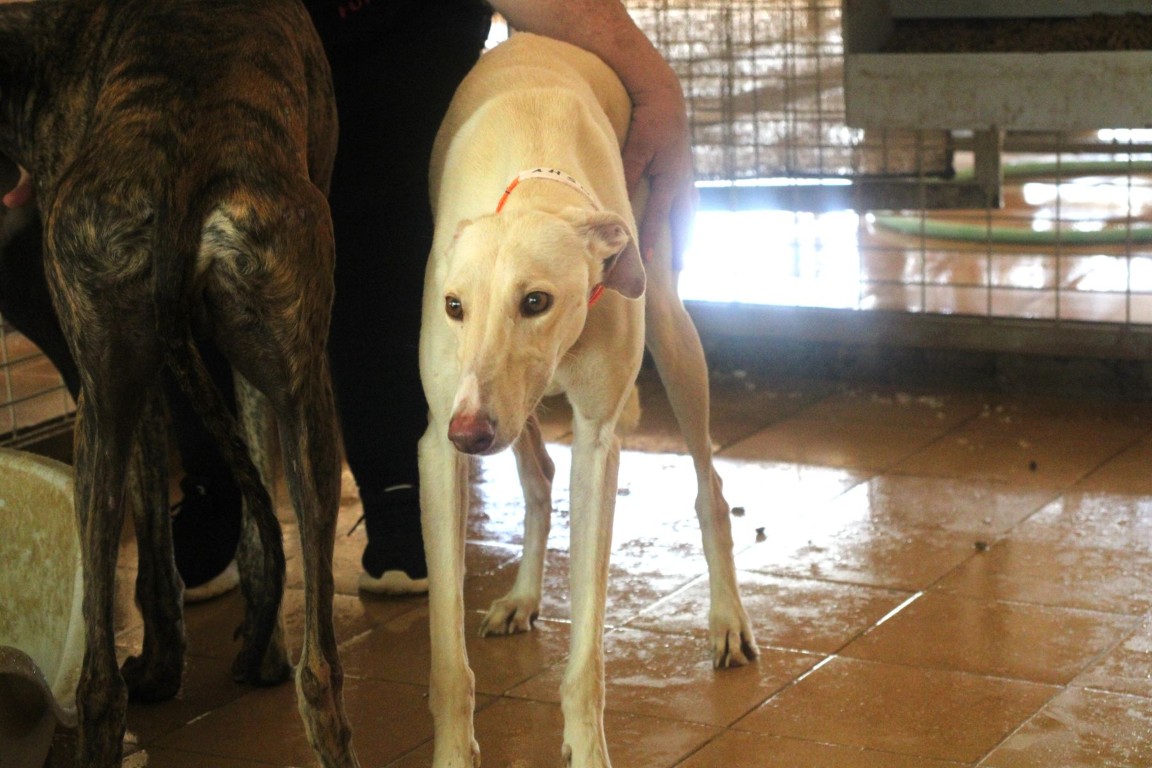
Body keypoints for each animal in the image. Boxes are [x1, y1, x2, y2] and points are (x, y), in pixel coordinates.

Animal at [0, 1, 358, 766]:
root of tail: (182, 167)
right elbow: (252, 527)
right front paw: (255, 653)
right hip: (298, 394)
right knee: (319, 670)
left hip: (103, 409)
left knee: (97, 685)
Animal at [420, 31, 758, 767]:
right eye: (454, 306)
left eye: (536, 301)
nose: (471, 434)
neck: (533, 184)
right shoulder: (439, 442)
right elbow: (446, 658)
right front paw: (455, 749)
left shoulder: (598, 440)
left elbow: (586, 650)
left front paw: (585, 744)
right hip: (508, 410)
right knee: (538, 475)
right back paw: (522, 595)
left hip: (667, 323)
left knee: (710, 487)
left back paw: (726, 619)